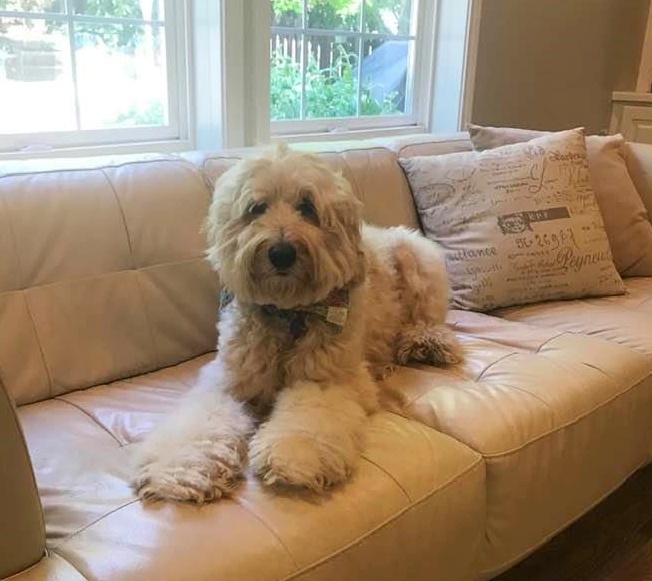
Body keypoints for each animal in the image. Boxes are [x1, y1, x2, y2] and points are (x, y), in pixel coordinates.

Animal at [133, 146, 462, 502]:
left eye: (307, 207)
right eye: (256, 208)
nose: (281, 253)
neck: (288, 312)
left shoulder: (327, 379)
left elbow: (307, 417)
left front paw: (294, 458)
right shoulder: (227, 381)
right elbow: (201, 422)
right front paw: (181, 469)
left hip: (419, 260)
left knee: (428, 319)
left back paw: (425, 343)